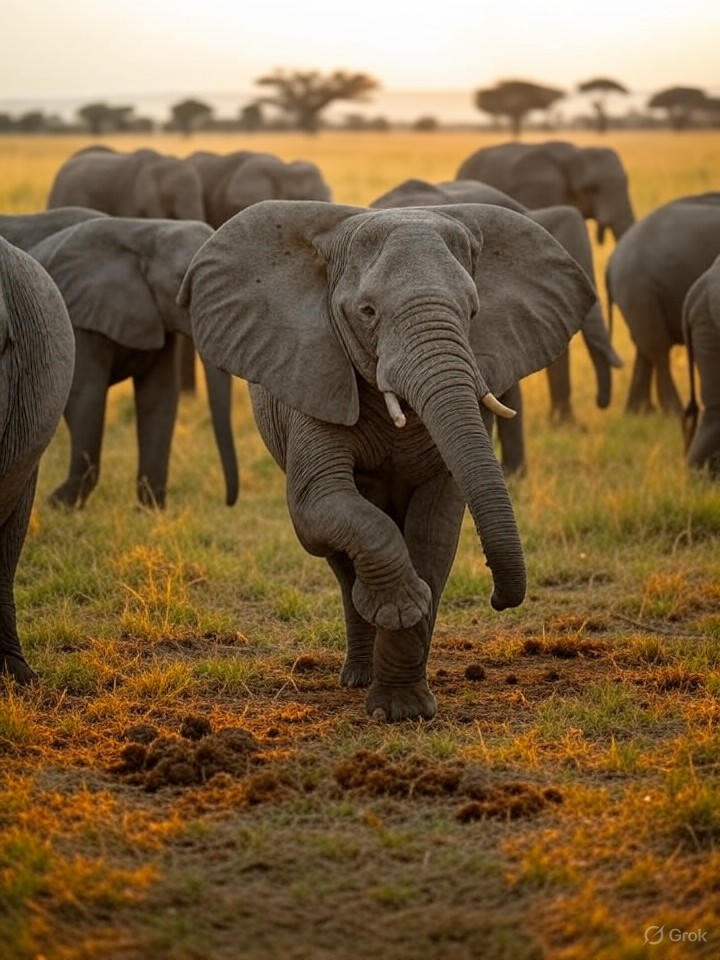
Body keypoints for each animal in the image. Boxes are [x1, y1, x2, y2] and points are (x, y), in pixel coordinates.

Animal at [29, 218, 238, 509]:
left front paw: (151, 510)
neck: (147, 234)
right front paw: (58, 505)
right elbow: (86, 395)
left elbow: (158, 397)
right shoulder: (79, 320)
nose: (227, 502)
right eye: (181, 283)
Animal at [180, 199, 595, 721]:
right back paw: (358, 673)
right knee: (341, 561)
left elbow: (434, 531)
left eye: (473, 311)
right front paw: (401, 609)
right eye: (368, 312)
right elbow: (315, 504)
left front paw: (404, 709)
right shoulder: (315, 377)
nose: (500, 599)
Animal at [606, 193, 720, 414]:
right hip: (639, 289)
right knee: (658, 350)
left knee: (645, 348)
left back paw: (640, 413)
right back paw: (673, 413)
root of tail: (612, 260)